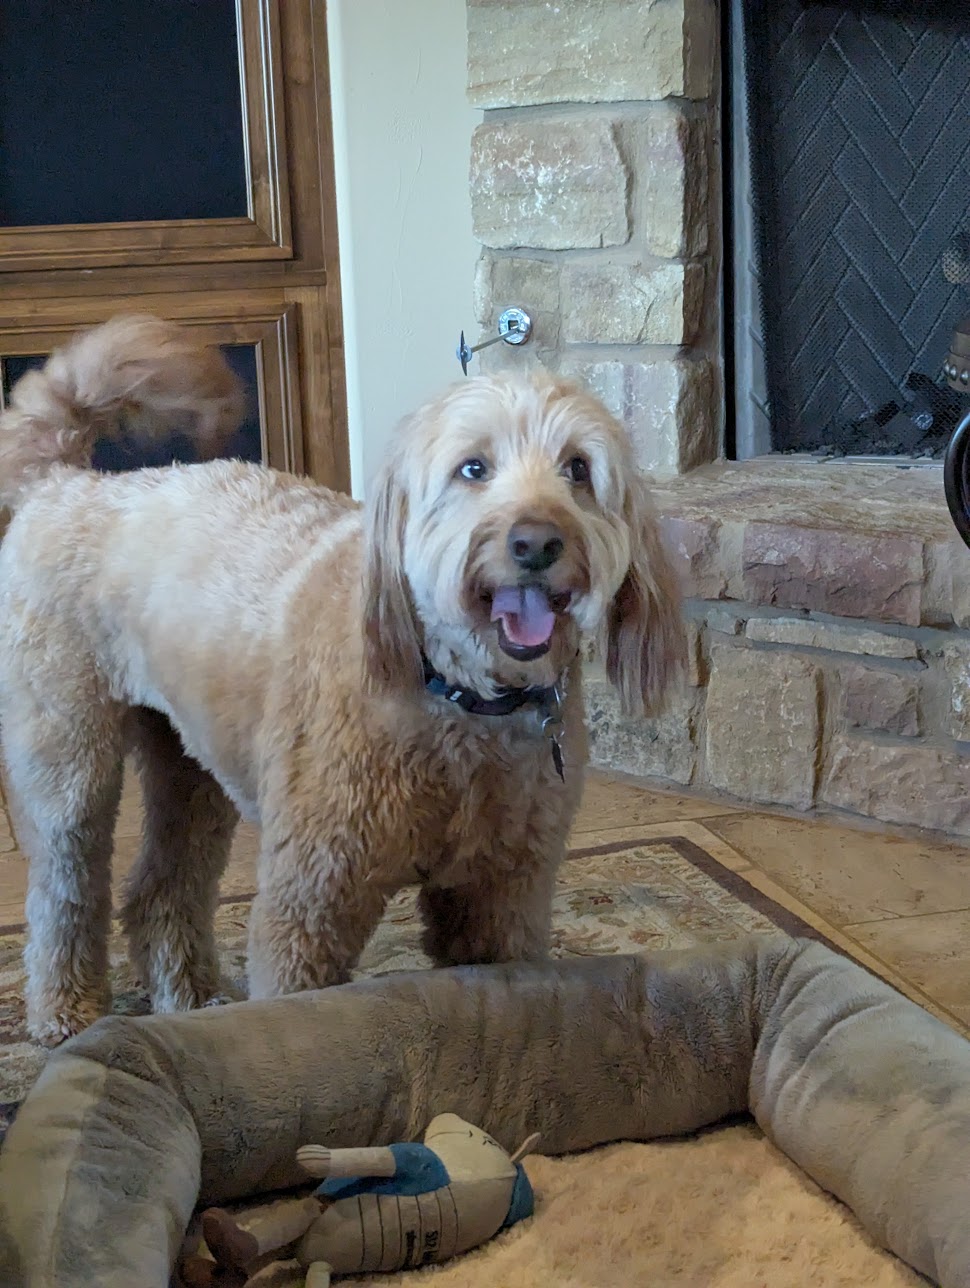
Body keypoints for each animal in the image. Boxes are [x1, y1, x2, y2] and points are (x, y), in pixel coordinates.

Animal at [0, 315, 684, 1045]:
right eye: (473, 468)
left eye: (578, 468)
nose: (536, 542)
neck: (458, 700)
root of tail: (67, 482)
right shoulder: (312, 899)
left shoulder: (499, 896)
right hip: (68, 757)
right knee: (64, 892)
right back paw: (66, 1012)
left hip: (190, 767)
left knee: (161, 889)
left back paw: (192, 999)